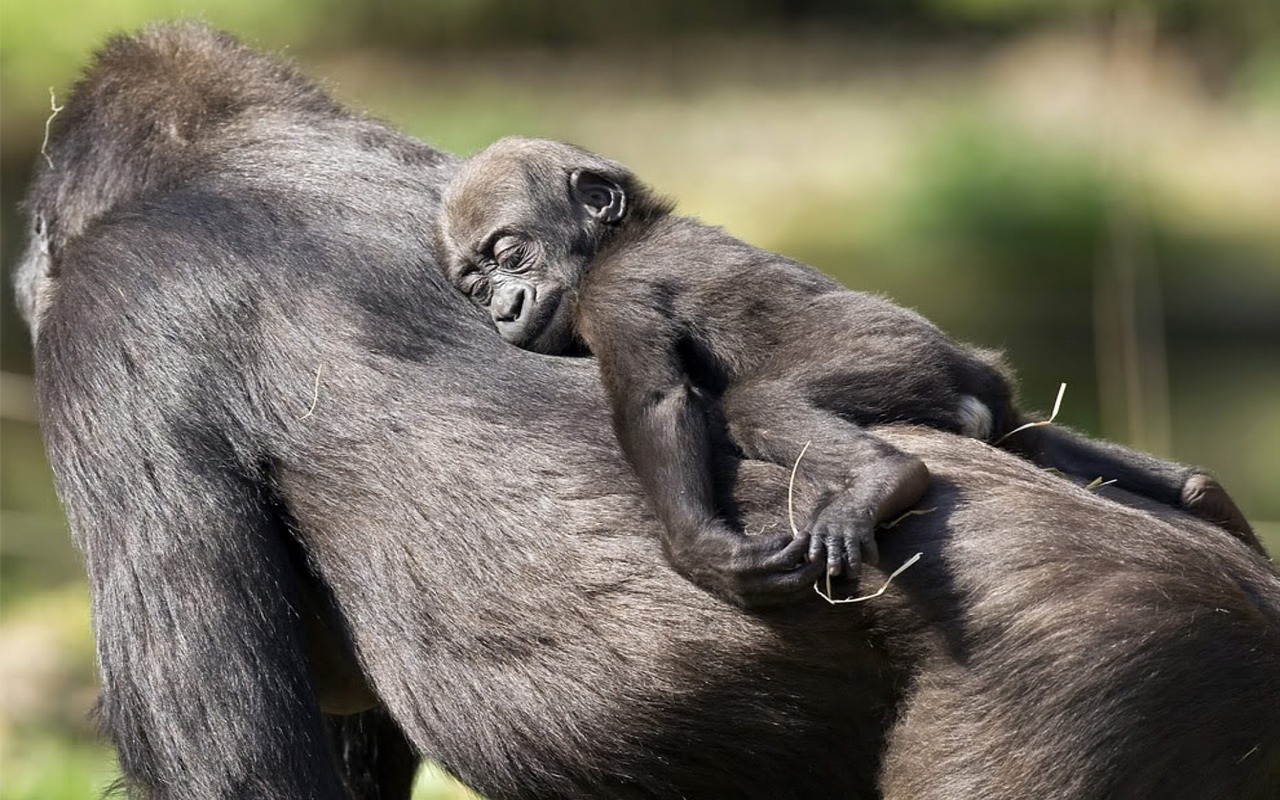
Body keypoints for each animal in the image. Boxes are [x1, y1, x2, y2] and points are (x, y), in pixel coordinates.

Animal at [437, 136, 1249, 609]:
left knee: (760, 404)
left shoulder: (618, 294)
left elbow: (656, 402)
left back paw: (886, 479)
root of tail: (971, 372)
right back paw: (1200, 494)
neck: (618, 239)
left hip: (897, 357)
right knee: (1039, 440)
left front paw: (701, 551)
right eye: (474, 284)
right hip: (991, 397)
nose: (502, 309)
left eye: (510, 255)